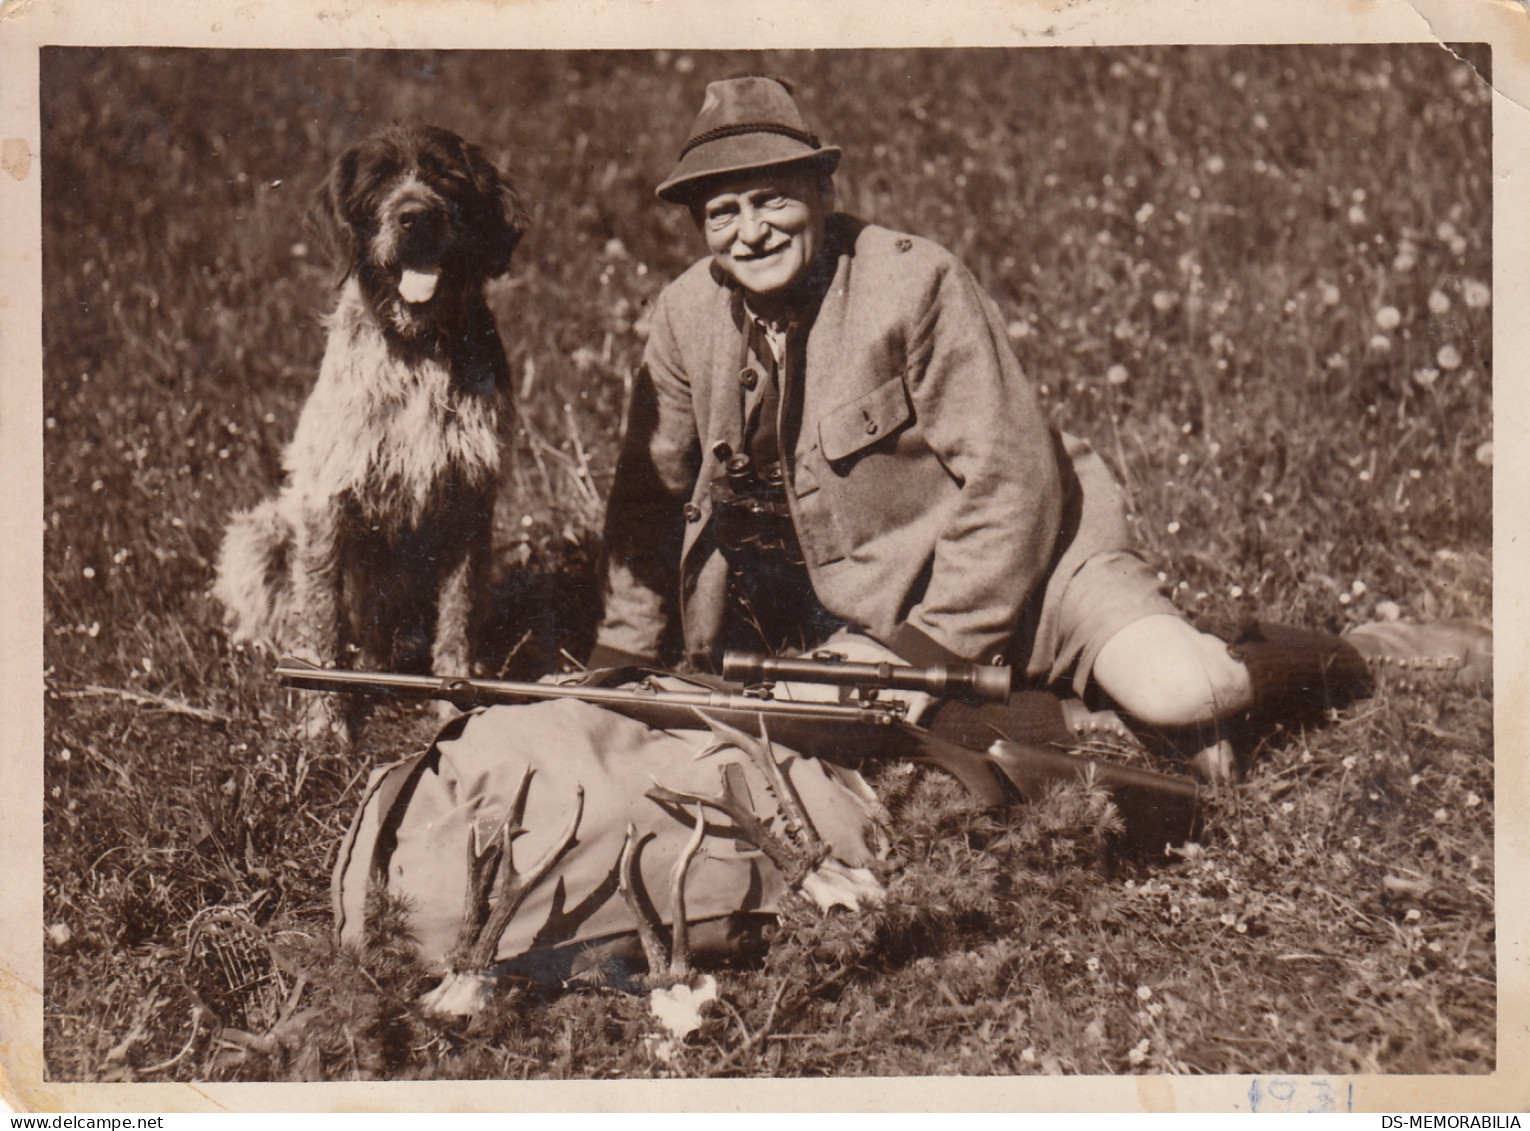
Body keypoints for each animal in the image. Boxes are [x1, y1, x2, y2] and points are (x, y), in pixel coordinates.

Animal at [212, 123, 529, 737]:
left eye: (445, 175)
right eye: (378, 180)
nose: (416, 217)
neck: (418, 347)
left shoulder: (470, 502)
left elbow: (457, 617)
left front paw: (452, 704)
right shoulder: (326, 504)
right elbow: (322, 621)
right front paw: (325, 725)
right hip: (263, 530)